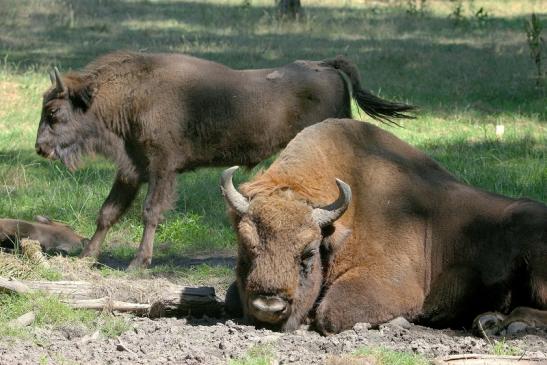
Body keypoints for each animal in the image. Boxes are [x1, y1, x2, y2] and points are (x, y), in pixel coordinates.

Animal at [34, 51, 414, 268]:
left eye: (54, 112)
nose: (39, 147)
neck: (132, 94)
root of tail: (324, 65)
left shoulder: (161, 169)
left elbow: (150, 212)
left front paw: (138, 263)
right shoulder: (131, 171)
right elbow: (108, 212)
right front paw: (87, 256)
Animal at [222, 118, 547, 332]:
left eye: (308, 253)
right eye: (246, 249)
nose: (268, 307)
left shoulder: (393, 283)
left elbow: (331, 314)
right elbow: (230, 298)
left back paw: (506, 324)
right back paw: (488, 321)